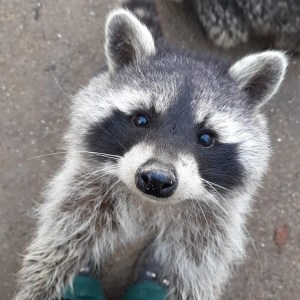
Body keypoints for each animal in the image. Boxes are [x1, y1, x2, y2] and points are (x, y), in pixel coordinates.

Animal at [15, 2, 288, 300]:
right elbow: (63, 236)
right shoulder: (87, 186)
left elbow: (198, 269)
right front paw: (41, 283)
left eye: (206, 138)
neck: (149, 204)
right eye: (141, 120)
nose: (156, 180)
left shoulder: (210, 224)